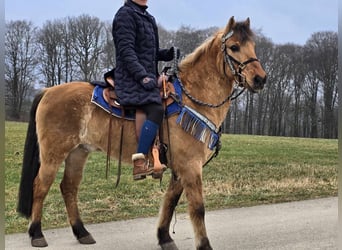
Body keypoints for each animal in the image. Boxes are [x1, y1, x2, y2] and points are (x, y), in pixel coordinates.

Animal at [16, 16, 268, 249]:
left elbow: (170, 202)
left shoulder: (180, 168)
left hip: (78, 152)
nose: (260, 78)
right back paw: (37, 234)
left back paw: (81, 232)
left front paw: (164, 237)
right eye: (234, 47)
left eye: (253, 46)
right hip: (53, 154)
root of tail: (48, 91)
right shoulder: (190, 166)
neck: (192, 98)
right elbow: (197, 208)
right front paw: (203, 245)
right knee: (40, 186)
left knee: (68, 187)